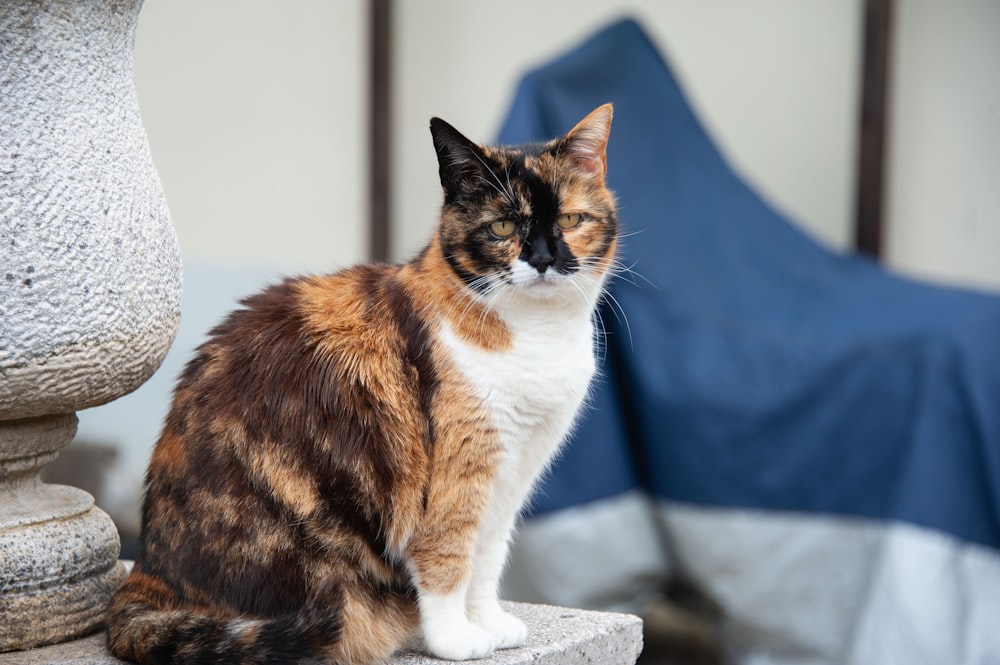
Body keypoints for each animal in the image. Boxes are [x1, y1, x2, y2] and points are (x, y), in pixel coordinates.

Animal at [103, 104, 616, 664]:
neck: (535, 332)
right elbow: (449, 554)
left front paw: (489, 623)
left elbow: (488, 556)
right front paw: (454, 638)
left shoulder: (514, 471)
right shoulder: (460, 470)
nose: (543, 259)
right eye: (502, 225)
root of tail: (148, 574)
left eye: (569, 220)